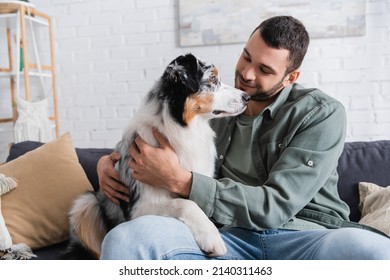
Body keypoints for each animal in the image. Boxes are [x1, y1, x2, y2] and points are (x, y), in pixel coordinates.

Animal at [62, 53, 248, 260]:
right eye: (213, 79)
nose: (247, 97)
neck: (179, 127)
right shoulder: (140, 207)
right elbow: (187, 203)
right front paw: (211, 237)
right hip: (86, 204)